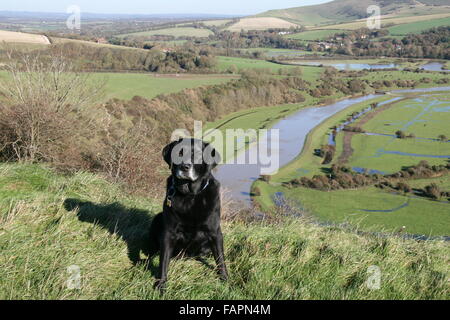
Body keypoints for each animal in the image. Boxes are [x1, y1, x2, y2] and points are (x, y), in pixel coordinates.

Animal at [149, 136, 229, 292]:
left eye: (197, 154)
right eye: (179, 153)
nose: (185, 167)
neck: (190, 195)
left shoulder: (215, 232)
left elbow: (220, 258)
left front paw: (225, 279)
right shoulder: (168, 232)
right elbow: (163, 260)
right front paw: (161, 284)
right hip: (157, 218)